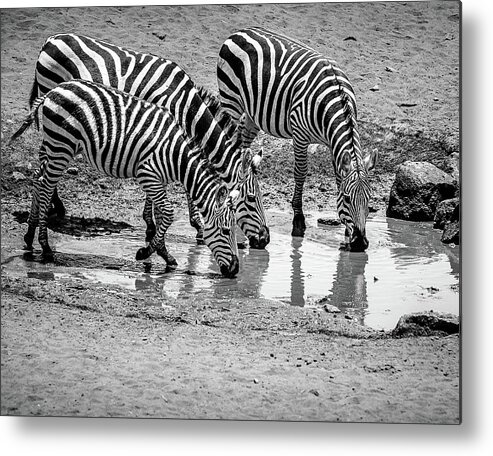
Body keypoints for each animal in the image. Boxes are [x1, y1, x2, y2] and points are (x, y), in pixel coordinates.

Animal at [10, 79, 242, 278]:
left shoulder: (159, 180)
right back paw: (45, 246)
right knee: (46, 186)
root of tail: (52, 91)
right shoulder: (148, 174)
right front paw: (145, 252)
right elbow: (168, 213)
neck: (176, 157)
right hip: (61, 145)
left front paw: (163, 253)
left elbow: (161, 215)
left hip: (55, 146)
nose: (236, 270)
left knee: (38, 180)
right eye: (226, 230)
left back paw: (29, 236)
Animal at [29, 33, 270, 249]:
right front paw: (175, 226)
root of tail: (51, 39)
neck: (186, 107)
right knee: (46, 161)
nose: (265, 240)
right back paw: (54, 206)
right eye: (250, 199)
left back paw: (51, 207)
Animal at [216, 26, 376, 251]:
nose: (361, 243)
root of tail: (242, 30)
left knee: (243, 139)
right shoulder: (300, 134)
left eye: (369, 200)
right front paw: (298, 222)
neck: (334, 101)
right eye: (346, 199)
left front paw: (347, 232)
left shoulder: (333, 144)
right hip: (231, 101)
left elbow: (339, 177)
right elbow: (300, 173)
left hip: (252, 113)